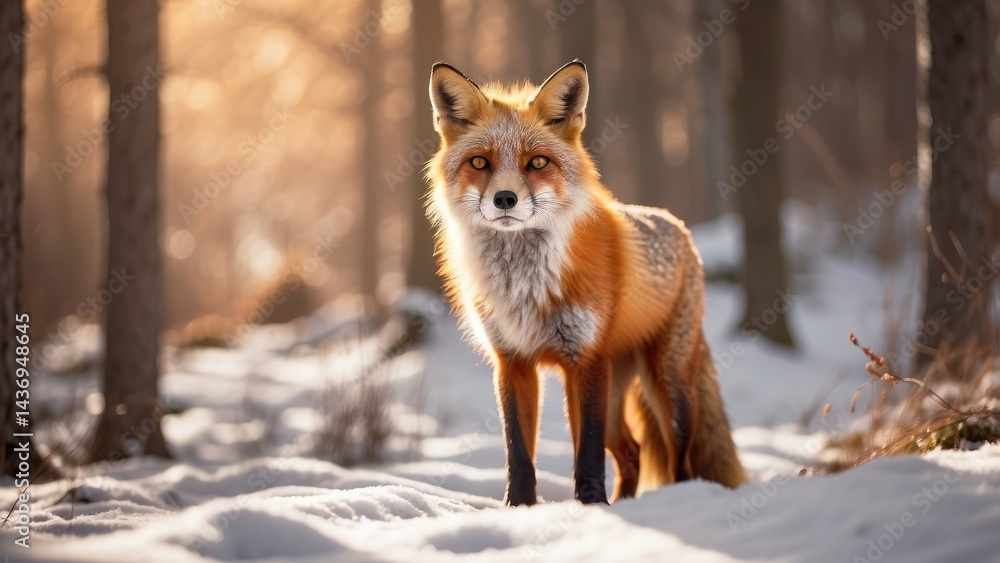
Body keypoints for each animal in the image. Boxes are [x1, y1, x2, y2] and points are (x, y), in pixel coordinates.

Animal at [426, 60, 746, 506]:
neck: (524, 285)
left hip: (667, 386)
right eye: (479, 163)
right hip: (618, 395)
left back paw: (674, 501)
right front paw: (518, 507)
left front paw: (592, 505)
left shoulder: (587, 360)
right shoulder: (512, 363)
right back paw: (627, 502)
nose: (504, 199)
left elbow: (587, 454)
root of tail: (678, 224)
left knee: (676, 460)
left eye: (537, 163)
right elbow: (518, 452)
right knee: (633, 453)